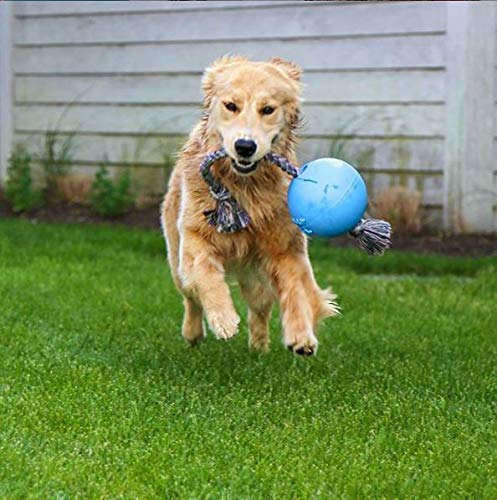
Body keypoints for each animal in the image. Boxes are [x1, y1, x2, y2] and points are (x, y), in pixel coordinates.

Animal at [161, 55, 340, 356]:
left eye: (267, 109)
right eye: (231, 106)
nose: (245, 146)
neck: (244, 187)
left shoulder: (286, 248)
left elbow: (297, 289)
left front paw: (301, 336)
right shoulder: (195, 237)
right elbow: (206, 276)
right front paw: (223, 318)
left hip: (256, 279)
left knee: (260, 309)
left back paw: (259, 347)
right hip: (176, 262)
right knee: (191, 297)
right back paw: (193, 333)